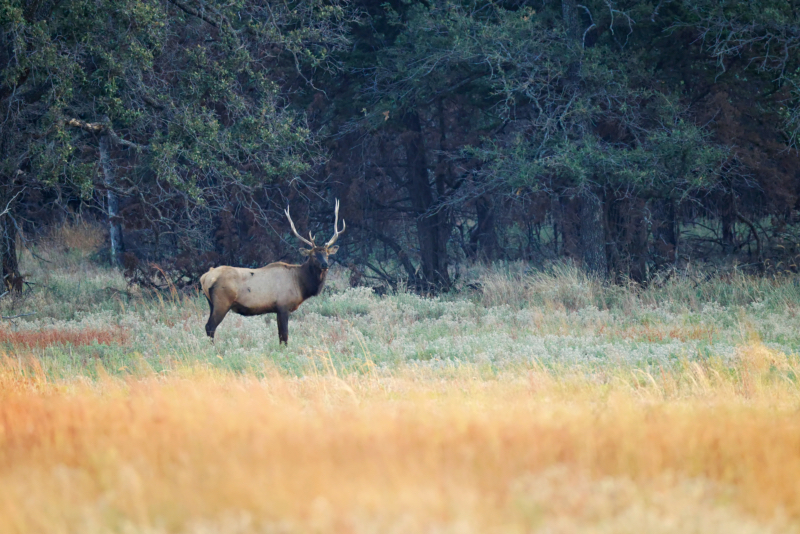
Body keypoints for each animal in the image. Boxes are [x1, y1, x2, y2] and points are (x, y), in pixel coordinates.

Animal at [199, 203, 344, 346]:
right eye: (313, 255)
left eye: (327, 254)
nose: (325, 265)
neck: (300, 284)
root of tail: (204, 277)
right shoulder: (283, 306)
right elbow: (284, 336)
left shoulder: (277, 309)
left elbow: (280, 336)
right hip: (222, 301)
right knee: (210, 327)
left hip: (211, 303)